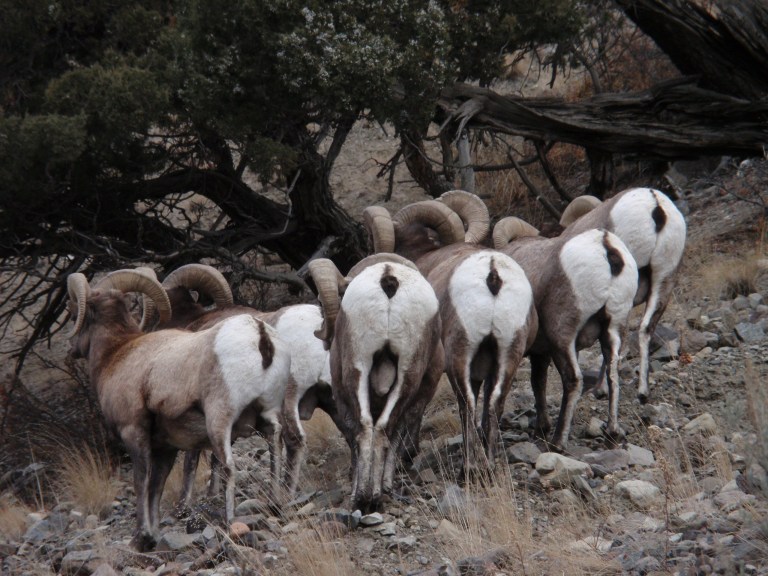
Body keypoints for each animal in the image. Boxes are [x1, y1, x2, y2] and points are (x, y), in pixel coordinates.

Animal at [66, 269, 290, 551]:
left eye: (75, 313)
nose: (71, 349)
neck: (116, 354)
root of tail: (258, 332)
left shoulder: (134, 432)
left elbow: (141, 481)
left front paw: (142, 537)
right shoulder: (166, 447)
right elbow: (156, 487)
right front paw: (152, 535)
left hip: (219, 423)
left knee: (228, 465)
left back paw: (229, 523)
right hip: (266, 414)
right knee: (275, 444)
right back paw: (275, 502)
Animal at [309, 253, 444, 511]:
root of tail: (388, 277)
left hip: (357, 370)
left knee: (366, 428)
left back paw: (362, 497)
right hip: (406, 373)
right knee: (382, 429)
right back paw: (374, 496)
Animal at [364, 196, 538, 474]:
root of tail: (492, 273)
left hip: (459, 354)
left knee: (466, 402)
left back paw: (470, 466)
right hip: (509, 354)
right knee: (495, 402)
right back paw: (489, 463)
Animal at [493, 219, 638, 449]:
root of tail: (605, 245)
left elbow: (536, 383)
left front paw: (542, 430)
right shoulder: (542, 352)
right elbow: (538, 382)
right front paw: (540, 429)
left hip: (563, 336)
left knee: (573, 380)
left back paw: (558, 442)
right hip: (614, 329)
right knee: (613, 375)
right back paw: (612, 434)